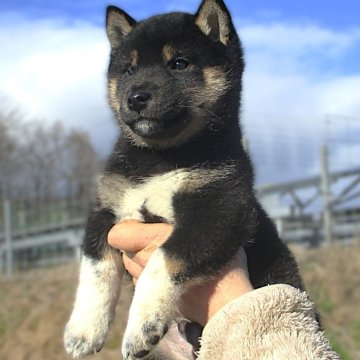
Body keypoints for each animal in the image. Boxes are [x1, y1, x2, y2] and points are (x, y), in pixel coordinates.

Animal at [64, 1, 304, 358]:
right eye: (129, 70)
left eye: (178, 63)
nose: (136, 97)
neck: (162, 157)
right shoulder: (106, 210)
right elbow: (95, 270)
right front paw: (83, 331)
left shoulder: (217, 209)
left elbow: (163, 260)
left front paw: (141, 325)